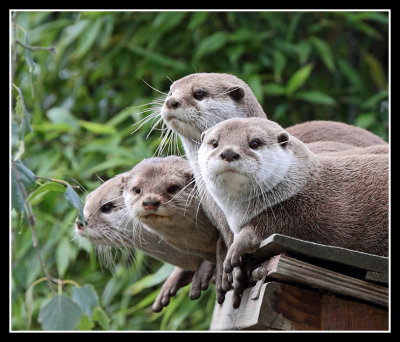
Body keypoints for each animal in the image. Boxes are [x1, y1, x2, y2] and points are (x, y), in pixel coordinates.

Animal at [198, 117, 390, 278]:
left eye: (254, 143)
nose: (229, 153)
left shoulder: (312, 214)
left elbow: (277, 225)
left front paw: (236, 248)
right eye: (214, 143)